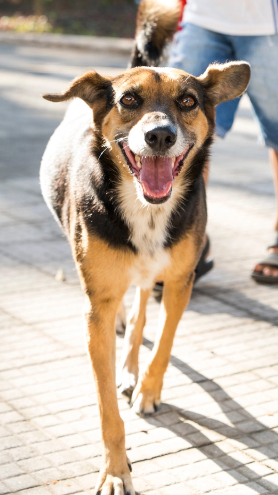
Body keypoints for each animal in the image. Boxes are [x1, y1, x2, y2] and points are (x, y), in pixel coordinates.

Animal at [40, 1, 251, 494]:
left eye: (188, 101)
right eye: (129, 101)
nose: (159, 136)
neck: (147, 211)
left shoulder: (179, 281)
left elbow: (164, 343)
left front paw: (148, 389)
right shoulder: (95, 308)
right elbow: (106, 410)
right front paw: (116, 470)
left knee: (139, 314)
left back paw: (132, 367)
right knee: (126, 309)